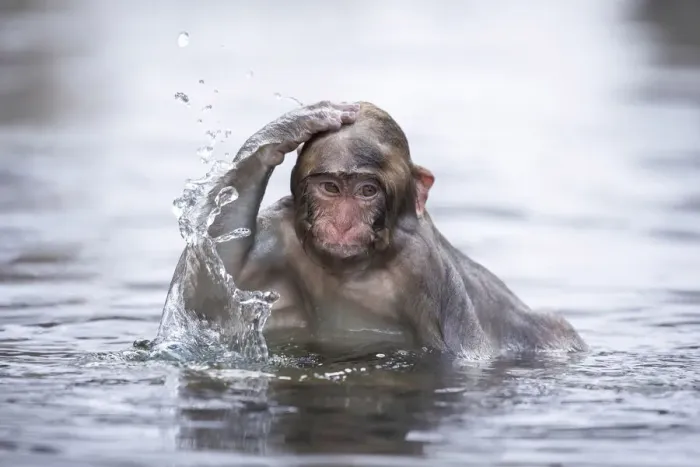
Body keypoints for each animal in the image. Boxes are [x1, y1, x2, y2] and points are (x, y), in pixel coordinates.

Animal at [162, 101, 587, 358]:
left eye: (366, 191)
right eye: (331, 188)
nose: (343, 222)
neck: (356, 270)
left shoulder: (424, 269)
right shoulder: (278, 233)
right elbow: (211, 294)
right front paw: (282, 131)